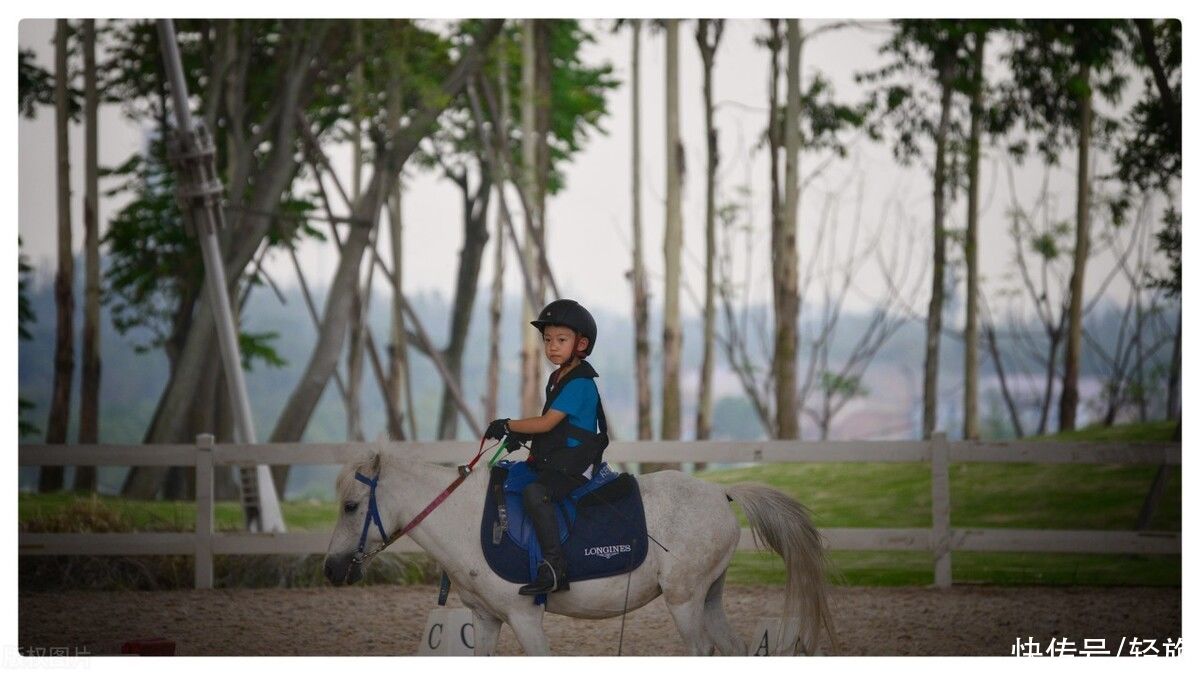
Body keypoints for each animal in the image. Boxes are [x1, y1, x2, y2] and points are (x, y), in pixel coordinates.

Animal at [324, 449, 840, 653]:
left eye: (351, 506)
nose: (331, 568)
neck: (470, 519)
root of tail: (720, 492)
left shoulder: (526, 617)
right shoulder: (487, 620)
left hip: (685, 600)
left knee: (702, 650)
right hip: (710, 596)